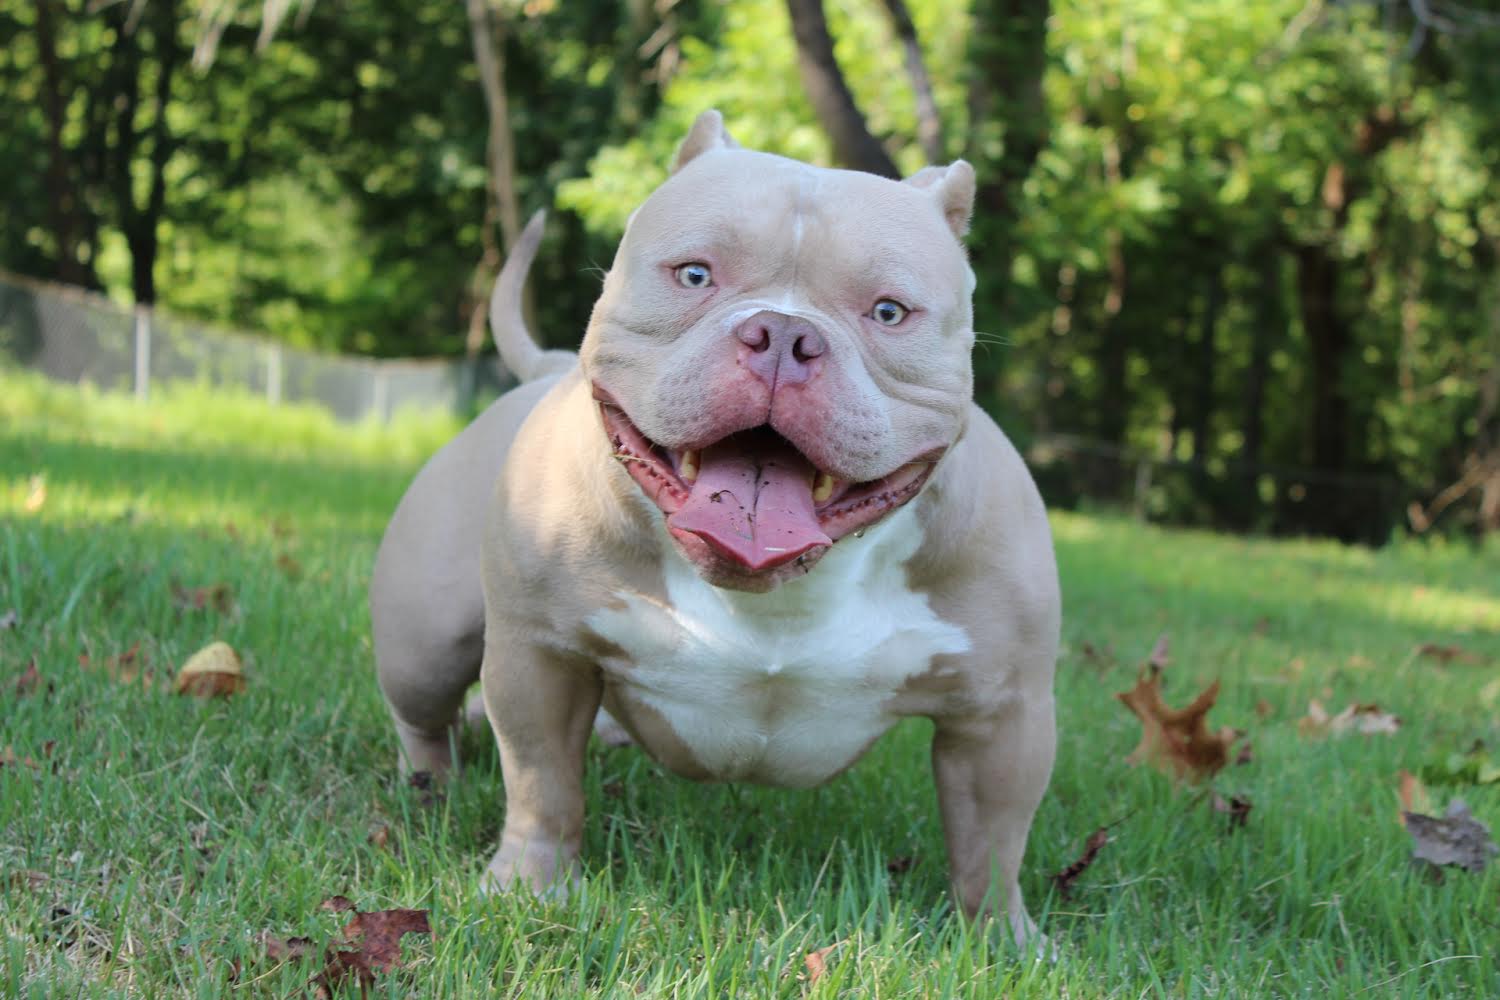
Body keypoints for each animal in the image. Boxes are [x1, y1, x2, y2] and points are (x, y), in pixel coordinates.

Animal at [370, 109, 1062, 947]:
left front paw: (1002, 940)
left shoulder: (1004, 714)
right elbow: (541, 783)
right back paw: (429, 787)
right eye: (695, 275)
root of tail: (547, 367)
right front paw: (530, 888)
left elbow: (993, 839)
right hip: (424, 638)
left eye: (889, 312)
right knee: (424, 712)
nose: (784, 336)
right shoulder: (541, 655)